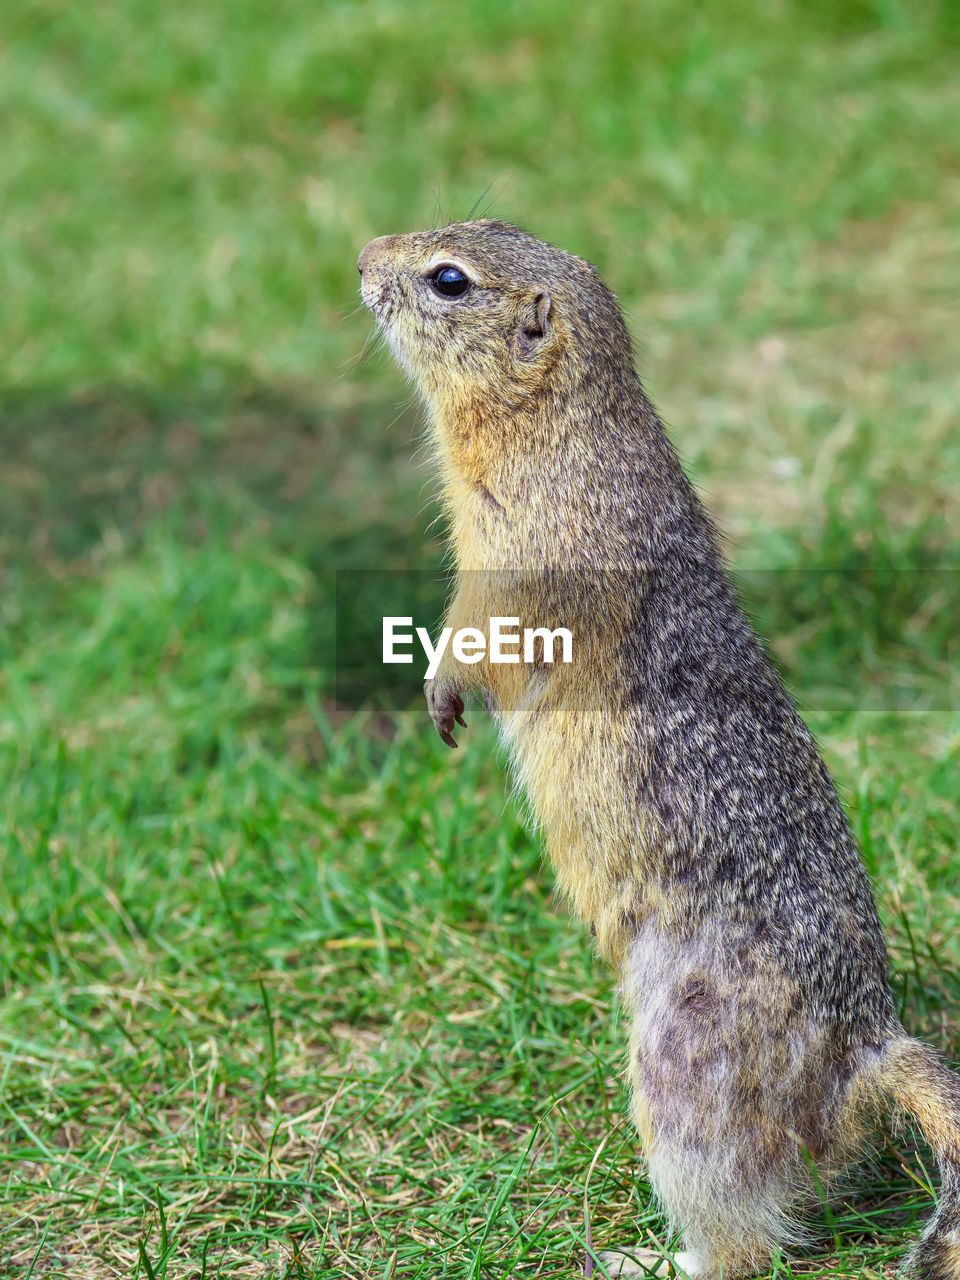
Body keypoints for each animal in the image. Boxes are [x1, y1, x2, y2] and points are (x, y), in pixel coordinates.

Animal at [358, 222, 960, 1280]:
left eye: (448, 280)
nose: (360, 257)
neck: (561, 425)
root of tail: (869, 1055)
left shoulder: (525, 555)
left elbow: (486, 632)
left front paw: (440, 688)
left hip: (689, 1070)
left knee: (742, 1236)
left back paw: (646, 1260)